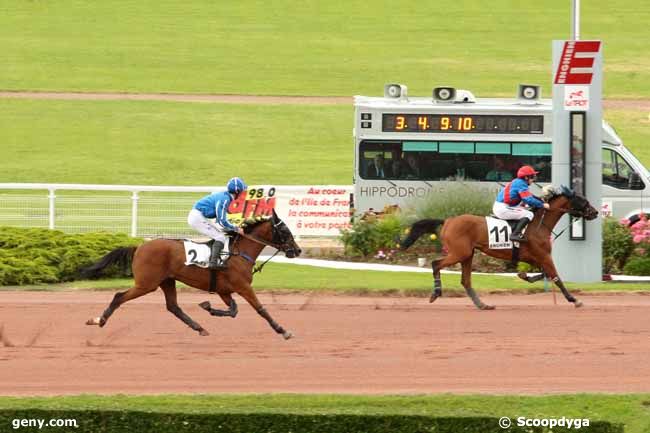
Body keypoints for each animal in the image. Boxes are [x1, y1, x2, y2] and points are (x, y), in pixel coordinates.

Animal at [81, 209, 302, 338]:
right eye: (285, 232)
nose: (298, 250)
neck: (239, 252)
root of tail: (138, 247)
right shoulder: (243, 287)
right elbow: (260, 309)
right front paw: (282, 330)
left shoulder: (224, 290)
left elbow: (233, 310)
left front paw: (208, 307)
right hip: (147, 283)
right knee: (119, 297)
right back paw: (99, 320)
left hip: (167, 281)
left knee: (173, 307)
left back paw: (200, 328)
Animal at [400, 186, 596, 310]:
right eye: (582, 200)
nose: (594, 212)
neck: (539, 225)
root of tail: (448, 220)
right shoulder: (544, 256)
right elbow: (556, 277)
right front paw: (574, 299)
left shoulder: (535, 258)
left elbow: (545, 274)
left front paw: (524, 275)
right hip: (459, 253)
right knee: (436, 264)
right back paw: (436, 293)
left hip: (467, 255)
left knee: (466, 281)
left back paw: (483, 305)